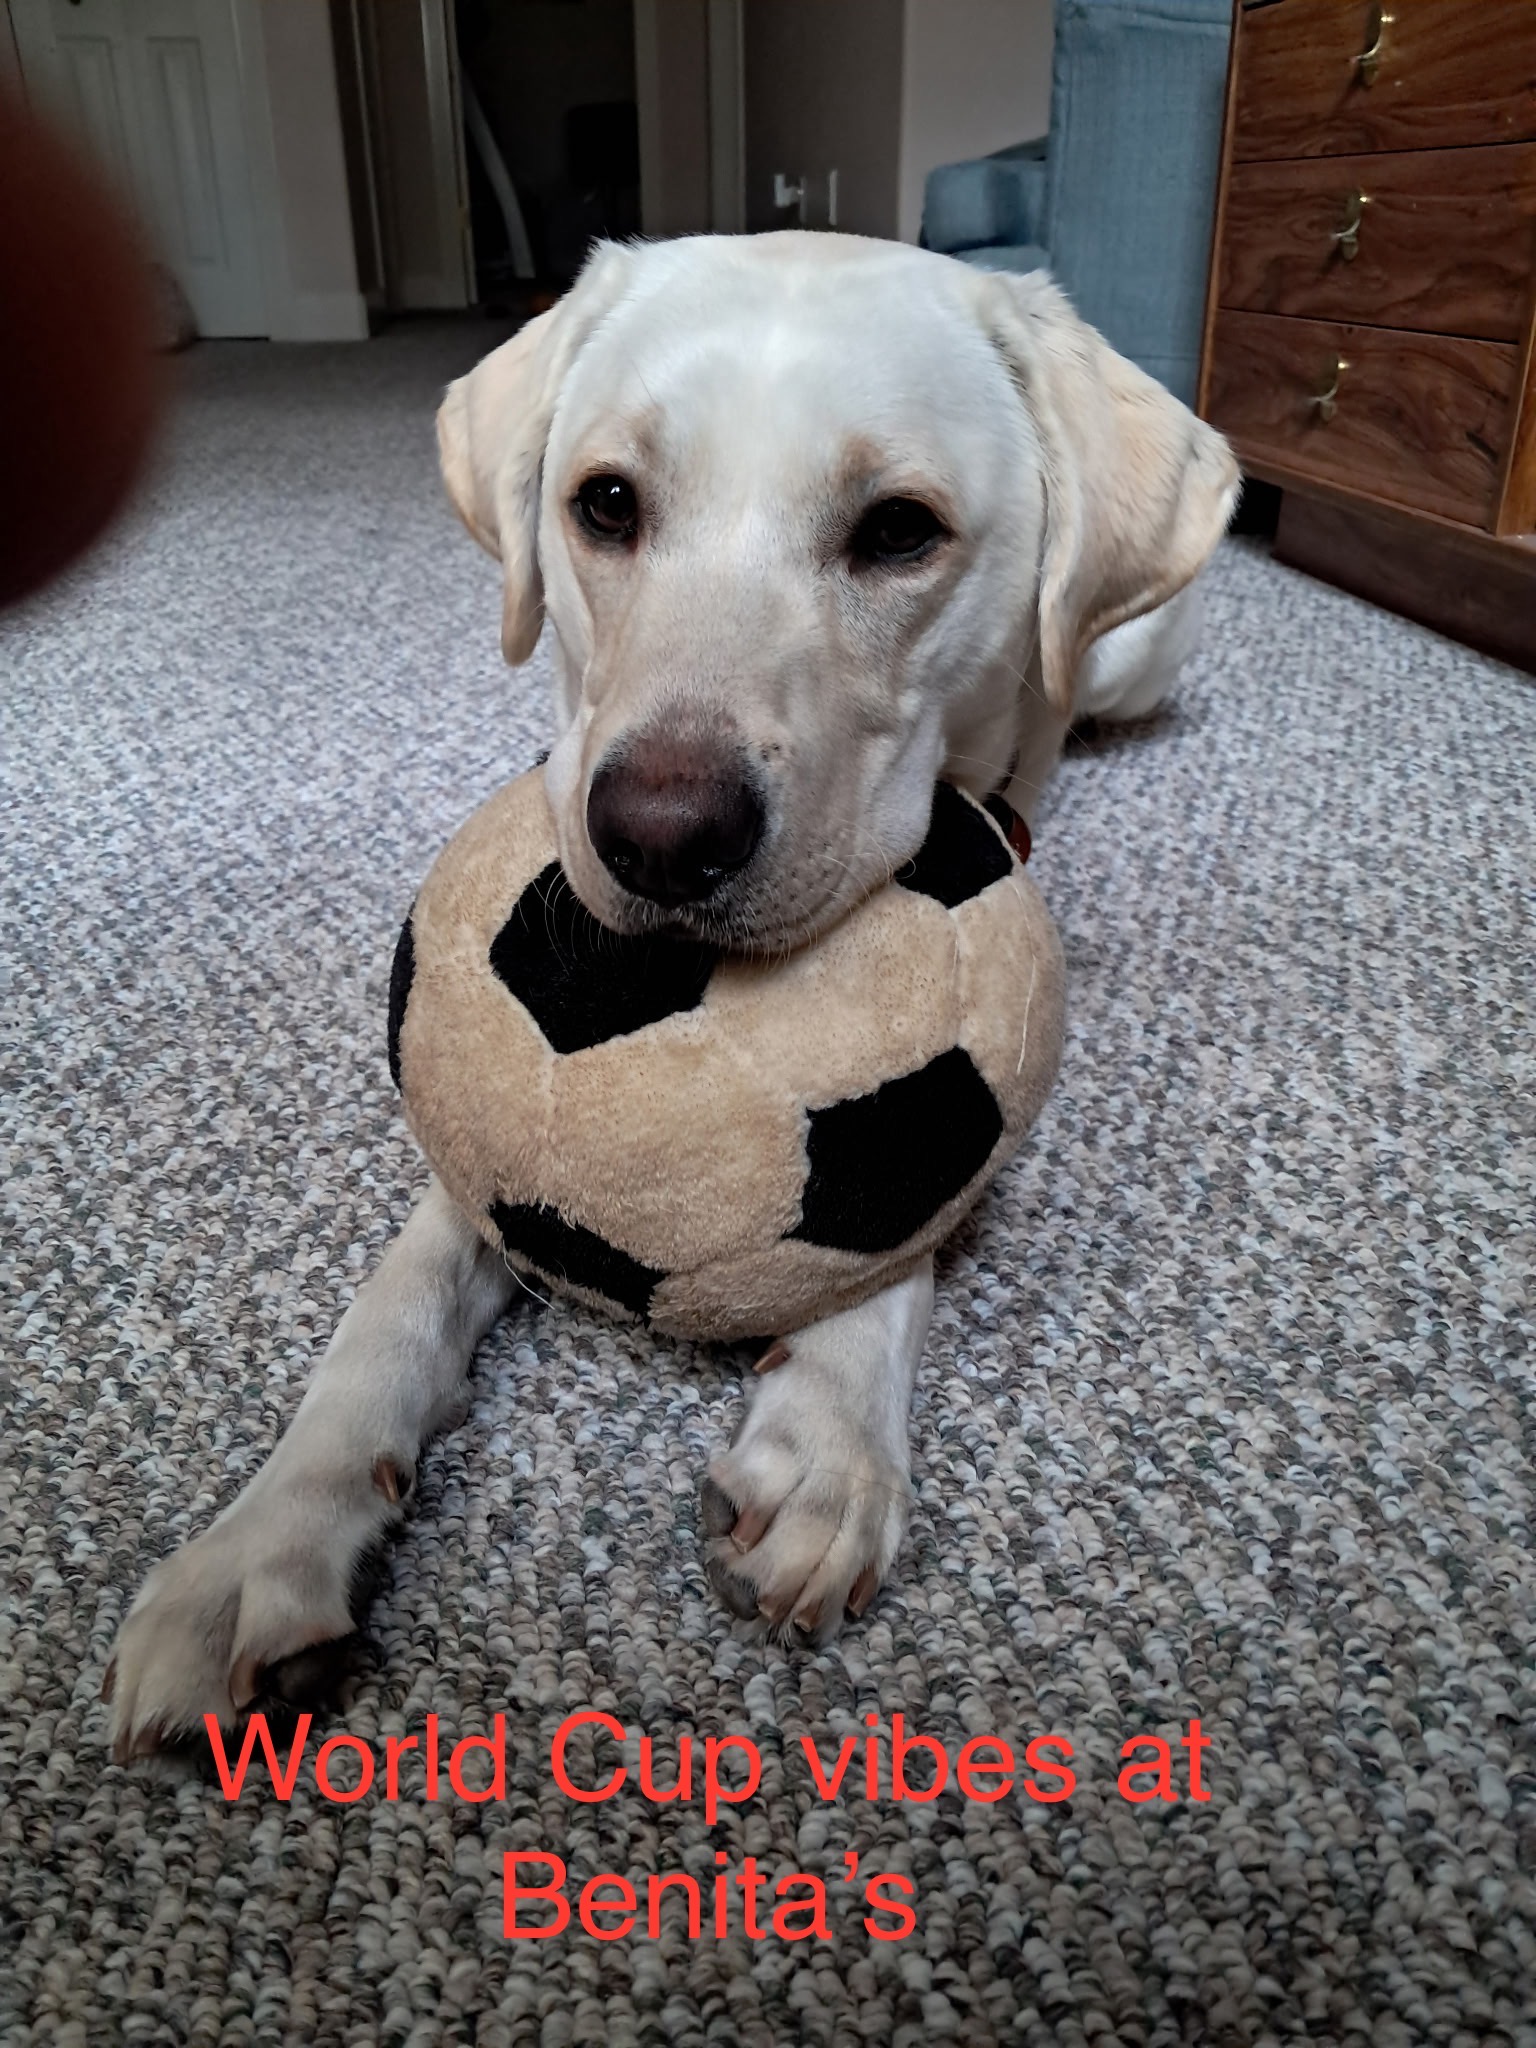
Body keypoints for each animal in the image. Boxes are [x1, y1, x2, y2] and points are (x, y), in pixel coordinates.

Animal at [106, 232, 1237, 1757]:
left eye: (900, 531)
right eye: (606, 503)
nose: (656, 836)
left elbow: (900, 1211)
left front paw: (827, 1432)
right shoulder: (476, 1153)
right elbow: (388, 1313)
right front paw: (257, 1548)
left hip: (1130, 649)